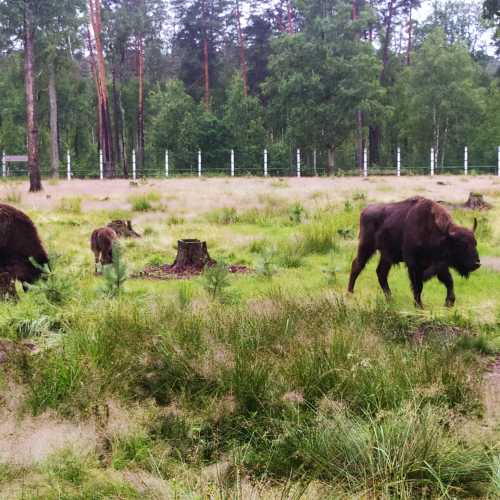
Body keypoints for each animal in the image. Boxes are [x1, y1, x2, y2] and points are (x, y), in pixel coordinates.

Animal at [348, 196, 480, 306]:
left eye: (475, 243)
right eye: (461, 245)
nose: (477, 263)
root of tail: (364, 211)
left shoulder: (440, 264)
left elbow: (448, 281)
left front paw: (449, 302)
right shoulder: (414, 265)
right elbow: (418, 286)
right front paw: (419, 305)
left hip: (386, 256)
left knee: (381, 272)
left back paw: (390, 299)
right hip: (367, 247)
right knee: (357, 265)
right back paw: (350, 292)